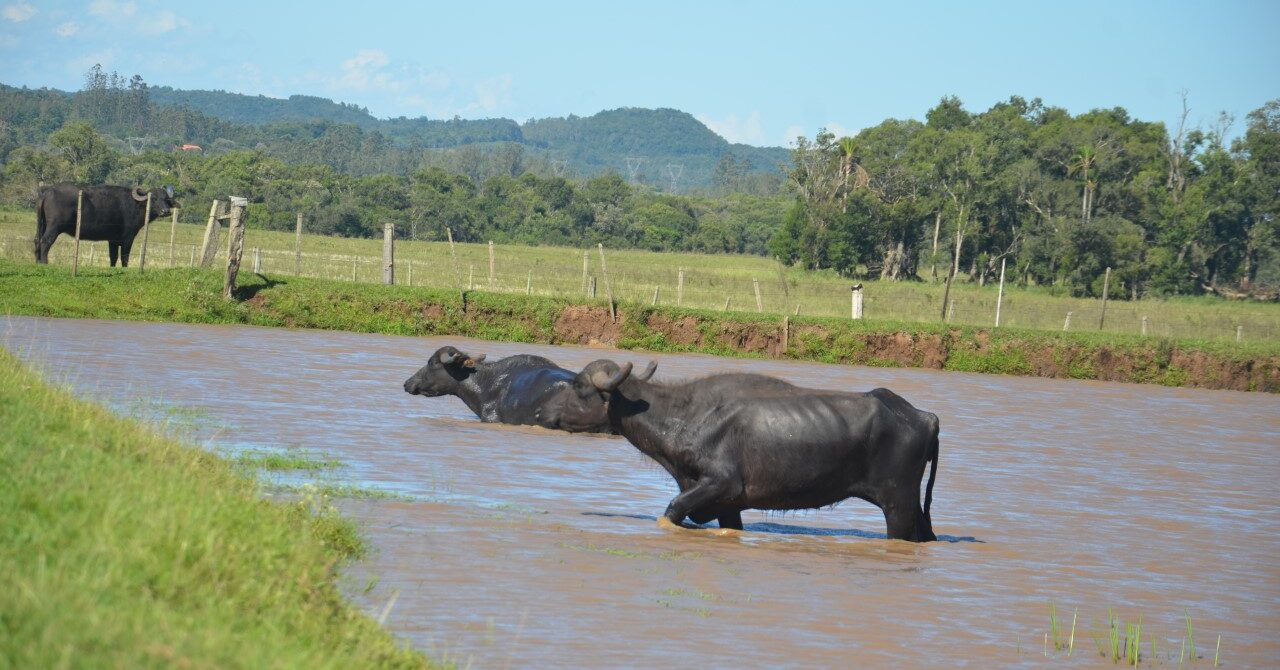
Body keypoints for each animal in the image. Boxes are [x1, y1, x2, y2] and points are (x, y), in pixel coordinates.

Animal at [34, 184, 175, 269]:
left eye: (166, 199)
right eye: (154, 198)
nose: (166, 211)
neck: (135, 205)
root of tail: (47, 192)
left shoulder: (112, 239)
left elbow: (113, 256)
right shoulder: (128, 238)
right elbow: (124, 256)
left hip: (42, 224)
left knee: (37, 240)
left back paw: (37, 261)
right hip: (54, 227)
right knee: (45, 241)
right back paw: (45, 262)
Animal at [560, 358, 942, 543]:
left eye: (578, 386)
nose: (549, 410)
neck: (685, 416)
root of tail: (923, 416)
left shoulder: (719, 483)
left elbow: (671, 510)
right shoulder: (728, 504)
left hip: (896, 504)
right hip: (911, 505)